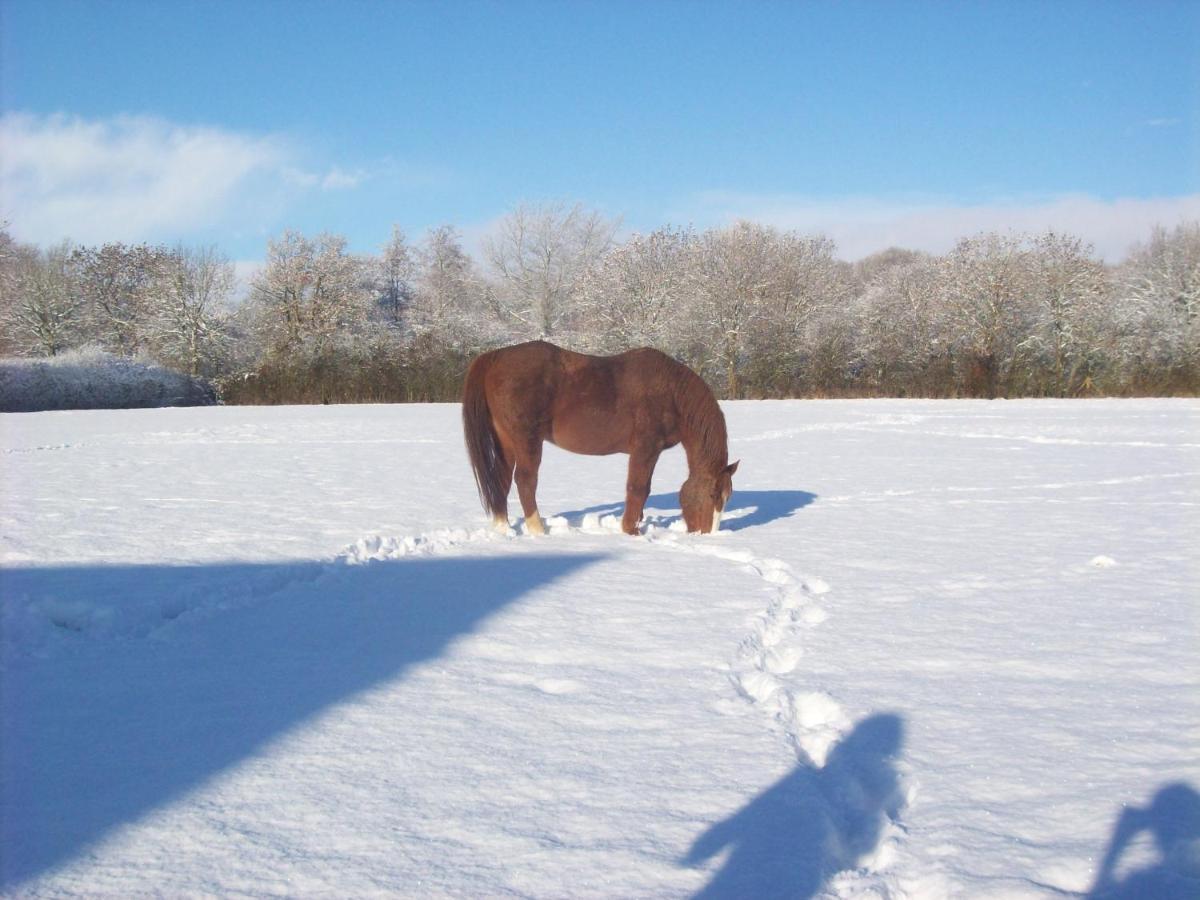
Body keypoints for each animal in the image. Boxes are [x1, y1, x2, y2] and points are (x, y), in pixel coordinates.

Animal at [460, 340, 734, 532]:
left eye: (727, 497)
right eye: (712, 495)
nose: (707, 534)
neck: (672, 394)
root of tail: (495, 357)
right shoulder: (646, 448)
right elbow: (638, 488)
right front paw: (630, 530)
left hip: (505, 441)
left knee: (502, 480)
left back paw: (503, 529)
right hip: (527, 441)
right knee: (525, 481)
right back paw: (538, 530)